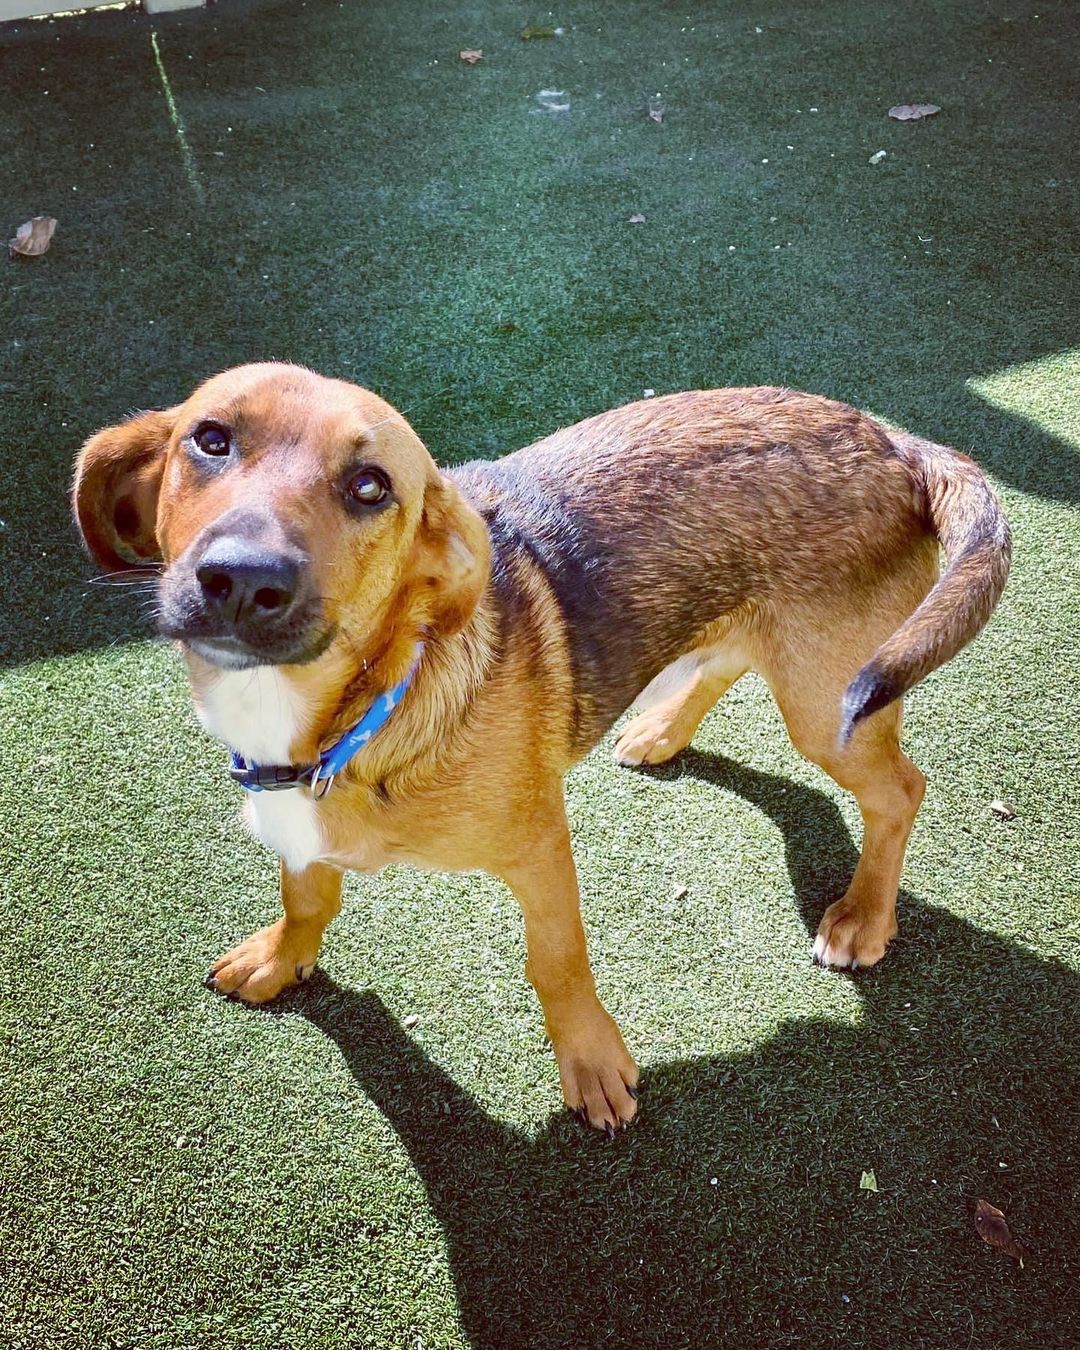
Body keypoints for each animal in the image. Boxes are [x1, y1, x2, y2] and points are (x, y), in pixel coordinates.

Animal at [75, 364, 1015, 1134]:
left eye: (371, 486)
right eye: (210, 438)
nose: (243, 578)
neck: (347, 720)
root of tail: (891, 439)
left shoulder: (538, 847)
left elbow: (556, 962)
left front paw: (592, 1064)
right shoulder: (297, 834)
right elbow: (308, 899)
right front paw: (282, 959)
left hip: (828, 703)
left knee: (898, 790)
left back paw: (863, 915)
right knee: (726, 659)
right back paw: (659, 730)